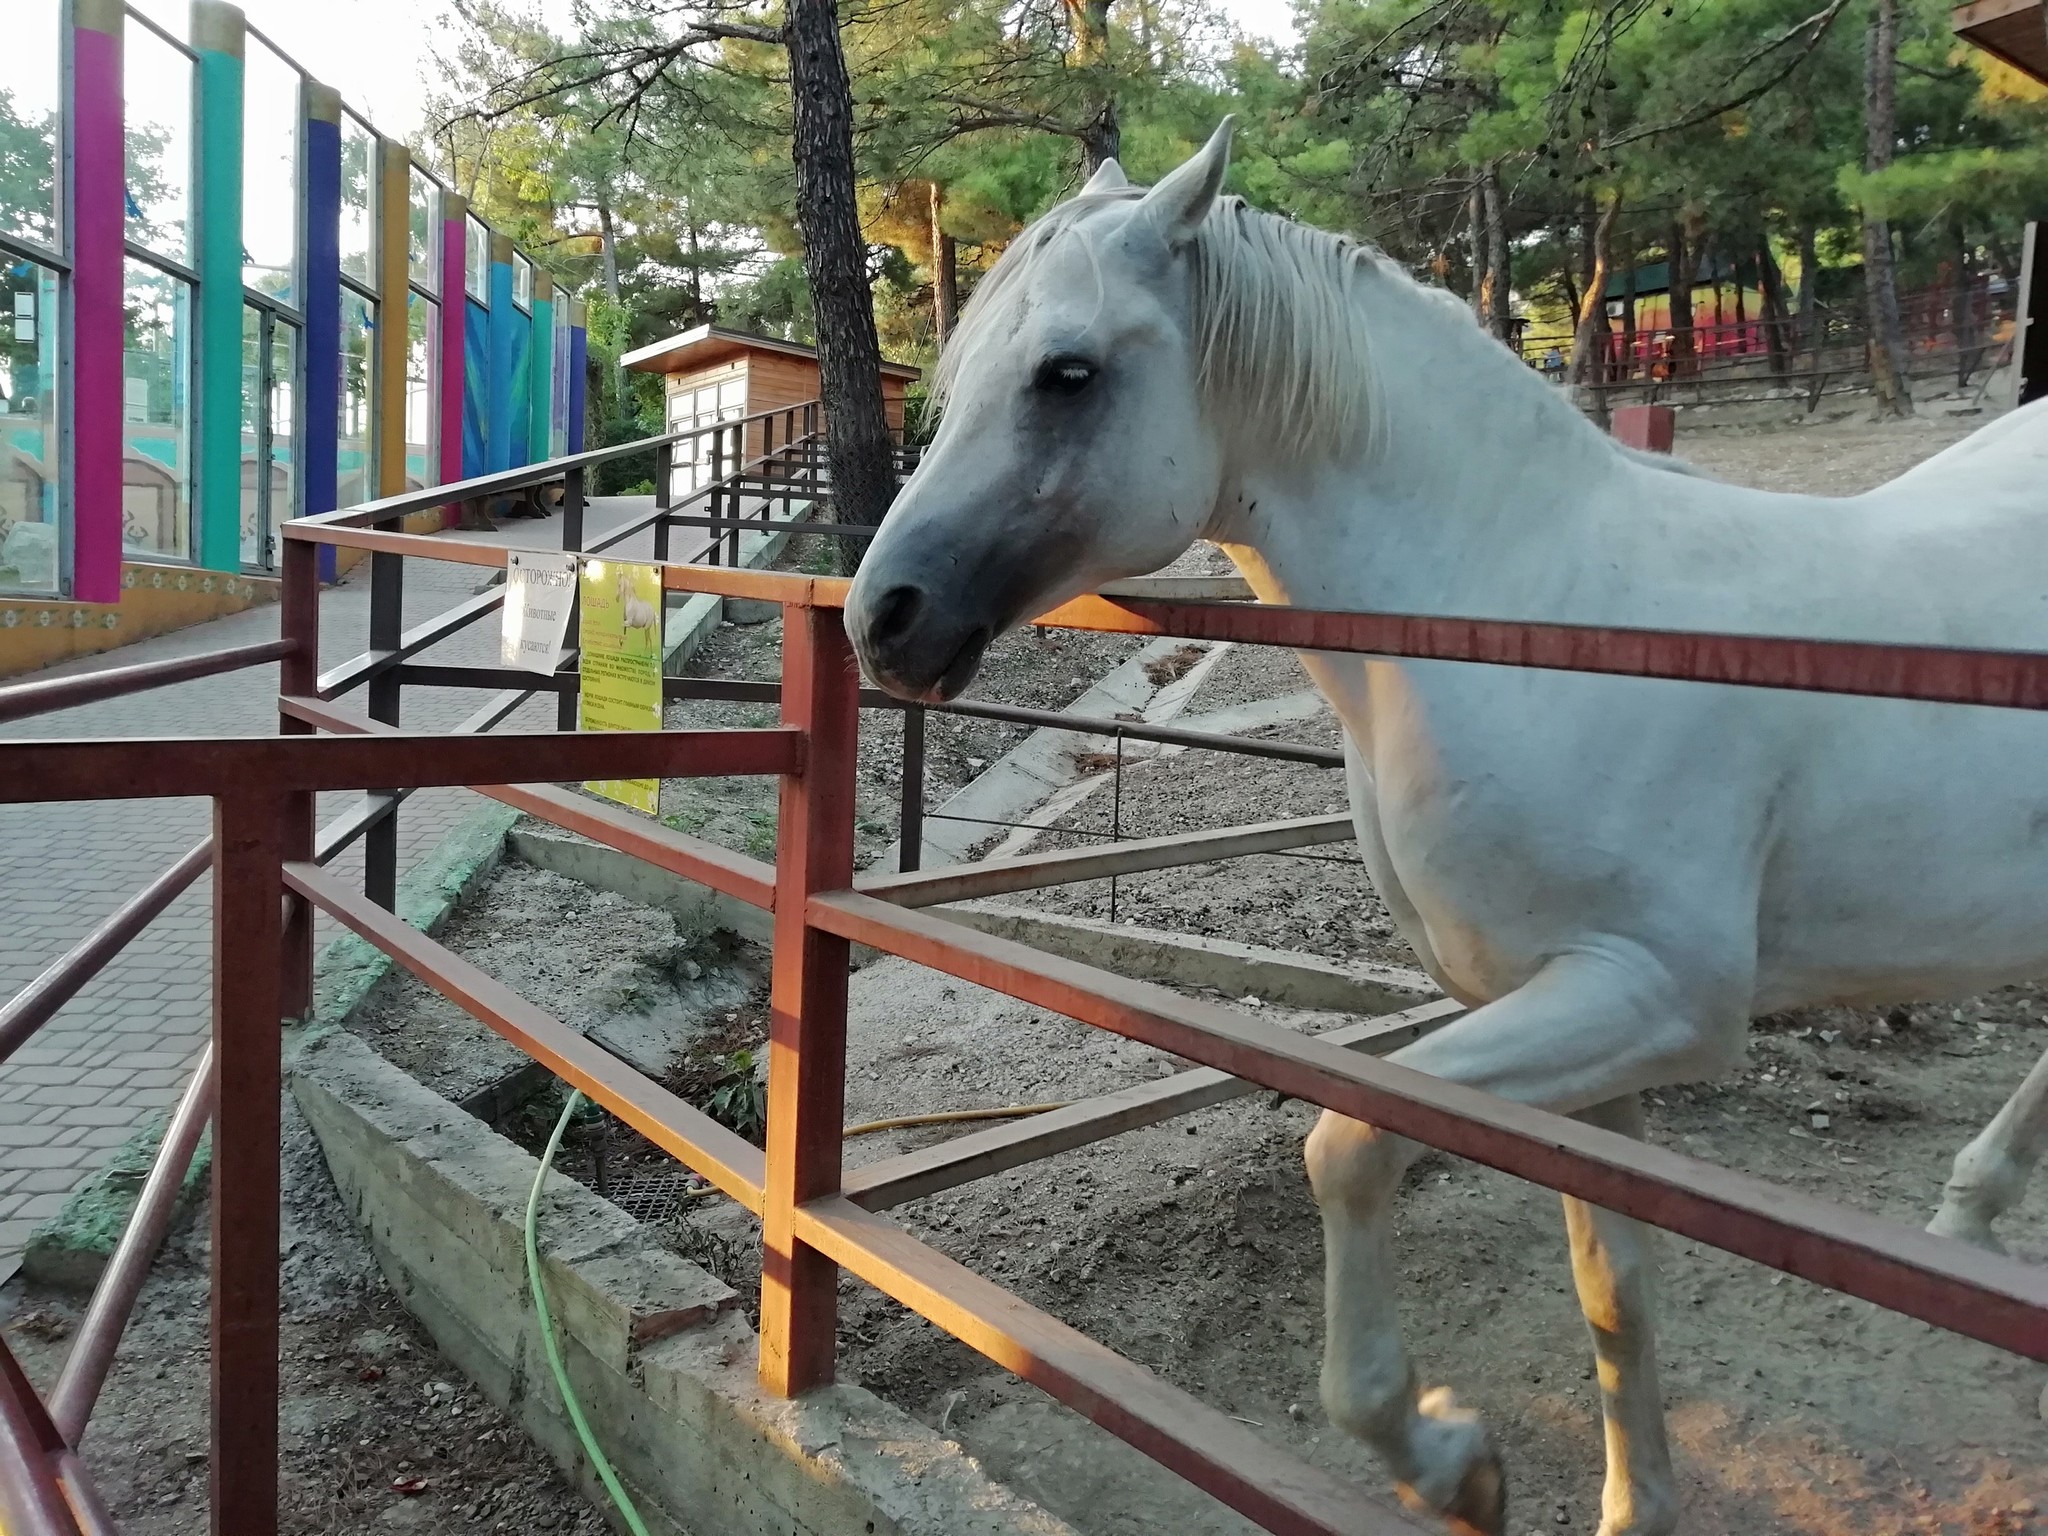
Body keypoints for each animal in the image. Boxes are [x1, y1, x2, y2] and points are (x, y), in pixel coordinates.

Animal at [839, 123, 2039, 1536]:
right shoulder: (1577, 1025)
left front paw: (1448, 1461)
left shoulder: (1653, 999)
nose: (882, 618)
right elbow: (1613, 1289)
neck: (1535, 619)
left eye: (1064, 374)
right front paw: (1624, 1503)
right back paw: (1967, 1216)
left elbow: (1346, 1147)